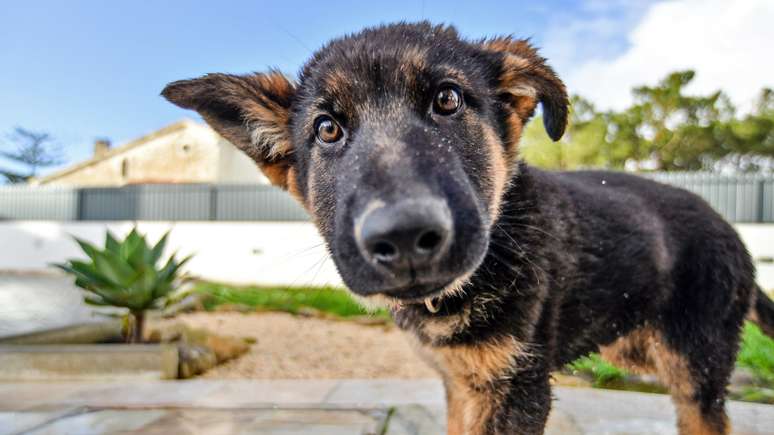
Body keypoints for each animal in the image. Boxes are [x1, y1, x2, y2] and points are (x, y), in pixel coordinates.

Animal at [161, 23, 772, 435]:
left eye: (448, 99)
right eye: (328, 129)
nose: (404, 237)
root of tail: (731, 230)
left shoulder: (518, 389)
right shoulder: (461, 383)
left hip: (694, 368)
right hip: (634, 346)